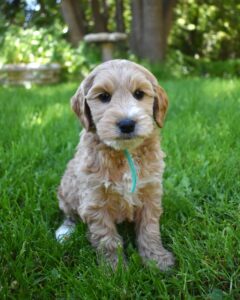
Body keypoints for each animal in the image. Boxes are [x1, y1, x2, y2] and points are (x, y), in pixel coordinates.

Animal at [57, 59, 175, 270]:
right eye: (104, 96)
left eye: (139, 94)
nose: (127, 124)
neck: (124, 152)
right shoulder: (95, 199)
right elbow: (107, 238)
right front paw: (115, 269)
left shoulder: (151, 192)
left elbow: (149, 229)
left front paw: (156, 259)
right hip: (66, 190)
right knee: (70, 215)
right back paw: (65, 232)